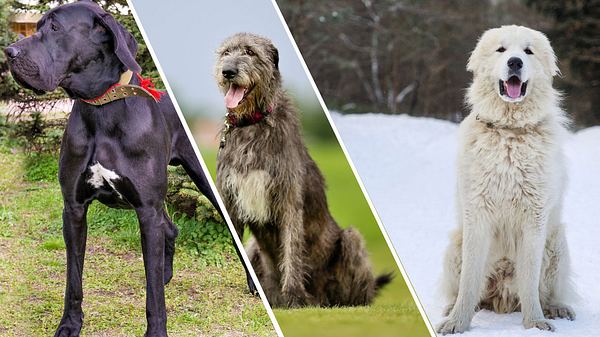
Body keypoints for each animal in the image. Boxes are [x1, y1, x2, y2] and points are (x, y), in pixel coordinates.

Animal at [5, 1, 255, 334]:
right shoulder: (73, 208)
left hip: (201, 183)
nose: (9, 52)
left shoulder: (146, 209)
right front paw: (70, 325)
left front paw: (156, 331)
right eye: (38, 26)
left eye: (56, 27)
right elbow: (73, 279)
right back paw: (165, 274)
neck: (101, 109)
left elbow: (154, 298)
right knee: (170, 230)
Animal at [213, 33, 392, 308]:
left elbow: (291, 249)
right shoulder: (230, 199)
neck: (252, 124)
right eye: (225, 53)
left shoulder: (288, 200)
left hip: (351, 240)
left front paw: (294, 297)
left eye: (250, 52)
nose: (228, 71)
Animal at [438, 24, 576, 334]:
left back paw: (557, 308)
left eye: (528, 51)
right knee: (466, 290)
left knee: (548, 290)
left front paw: (535, 322)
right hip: (455, 243)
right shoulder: (476, 214)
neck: (510, 132)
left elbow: (530, 281)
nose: (515, 62)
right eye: (501, 50)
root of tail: (501, 297)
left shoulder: (534, 218)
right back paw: (452, 308)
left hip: (557, 243)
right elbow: (469, 281)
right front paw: (457, 322)